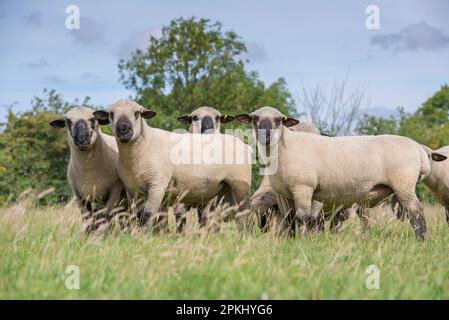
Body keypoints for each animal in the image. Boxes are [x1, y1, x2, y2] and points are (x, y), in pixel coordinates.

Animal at [93, 99, 252, 231]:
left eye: (137, 113)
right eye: (112, 114)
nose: (123, 130)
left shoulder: (157, 186)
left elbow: (147, 215)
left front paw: (144, 236)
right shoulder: (132, 190)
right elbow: (135, 216)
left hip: (240, 183)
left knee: (243, 211)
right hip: (224, 189)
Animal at [233, 106, 446, 239]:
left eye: (279, 120)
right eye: (255, 118)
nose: (266, 134)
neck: (283, 149)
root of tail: (418, 149)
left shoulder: (303, 188)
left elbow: (304, 217)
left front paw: (303, 241)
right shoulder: (284, 194)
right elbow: (288, 220)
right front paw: (288, 240)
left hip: (404, 184)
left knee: (416, 212)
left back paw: (422, 240)